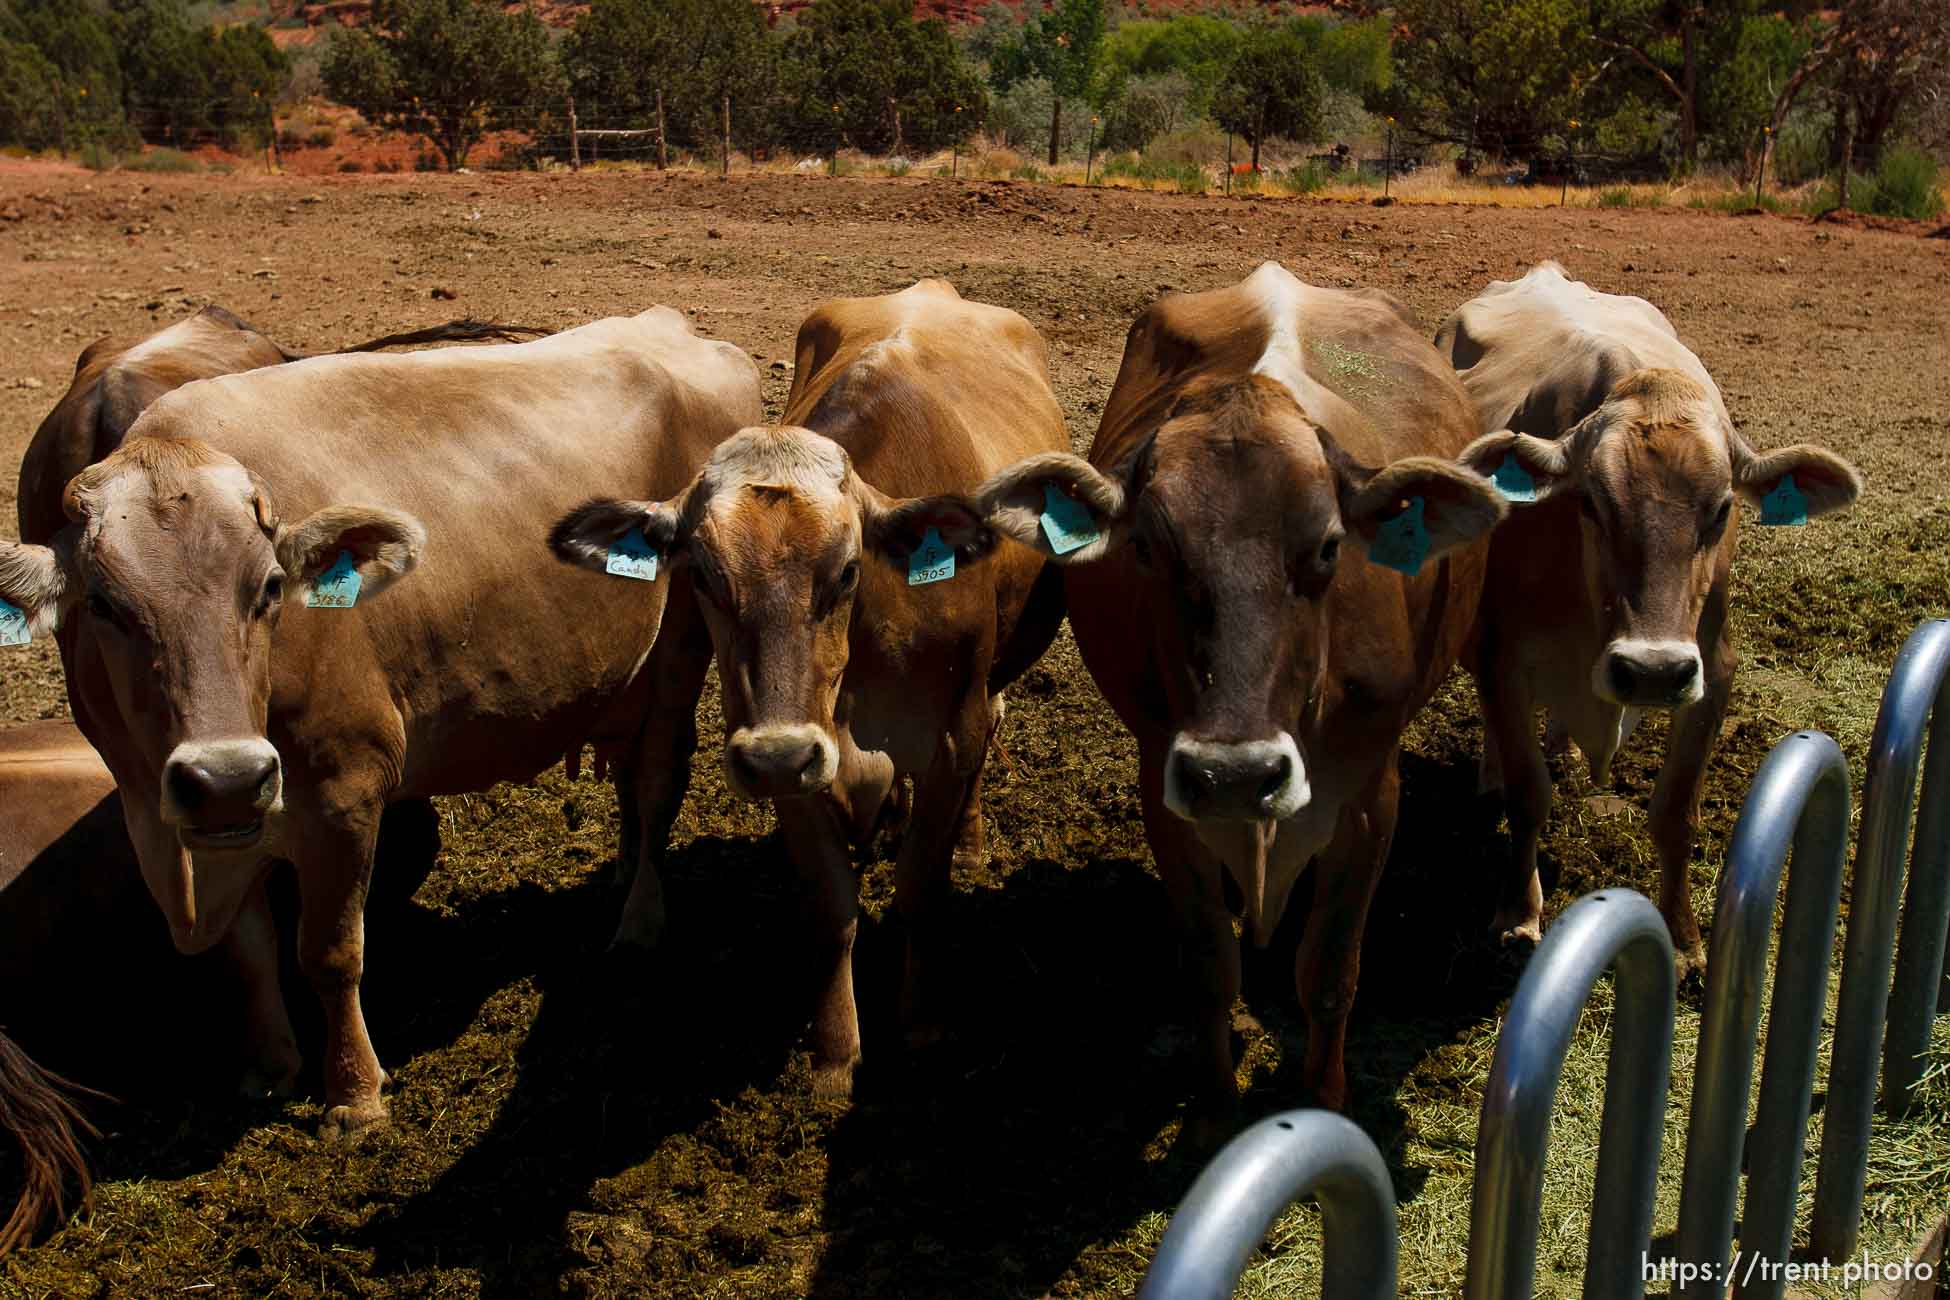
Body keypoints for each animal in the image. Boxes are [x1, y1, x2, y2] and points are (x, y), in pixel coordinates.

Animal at [0, 309, 760, 1130]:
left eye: (269, 587)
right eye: (102, 605)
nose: (226, 776)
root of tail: (668, 326)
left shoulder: (346, 788)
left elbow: (330, 952)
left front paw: (355, 1097)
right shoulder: (214, 822)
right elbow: (251, 952)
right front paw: (270, 1070)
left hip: (681, 650)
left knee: (657, 781)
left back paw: (640, 921)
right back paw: (621, 871)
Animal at [549, 280, 1068, 1091]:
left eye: (848, 570)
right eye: (704, 575)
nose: (778, 756)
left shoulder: (951, 736)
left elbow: (921, 886)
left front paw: (920, 1021)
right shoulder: (783, 750)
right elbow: (831, 906)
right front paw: (833, 1051)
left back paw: (969, 839)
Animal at [975, 261, 1505, 1122]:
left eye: (1328, 546)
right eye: (1148, 548)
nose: (1235, 775)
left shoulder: (1372, 798)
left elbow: (1330, 972)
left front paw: (1326, 1103)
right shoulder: (1166, 795)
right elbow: (1209, 967)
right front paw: (1219, 1112)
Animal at [1435, 265, 1856, 970]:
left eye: (1722, 509)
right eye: (1591, 503)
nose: (1653, 671)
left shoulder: (1712, 668)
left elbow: (1675, 811)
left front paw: (1684, 938)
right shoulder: (1499, 653)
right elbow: (1526, 792)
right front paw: (1519, 914)